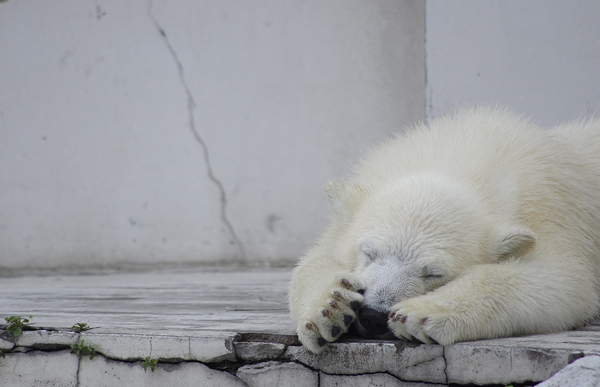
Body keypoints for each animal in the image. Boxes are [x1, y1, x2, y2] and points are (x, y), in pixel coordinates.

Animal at [288, 107, 600, 354]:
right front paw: (332, 308)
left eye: (433, 273)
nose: (373, 315)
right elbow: (315, 258)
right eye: (369, 253)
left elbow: (565, 280)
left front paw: (419, 315)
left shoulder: (550, 212)